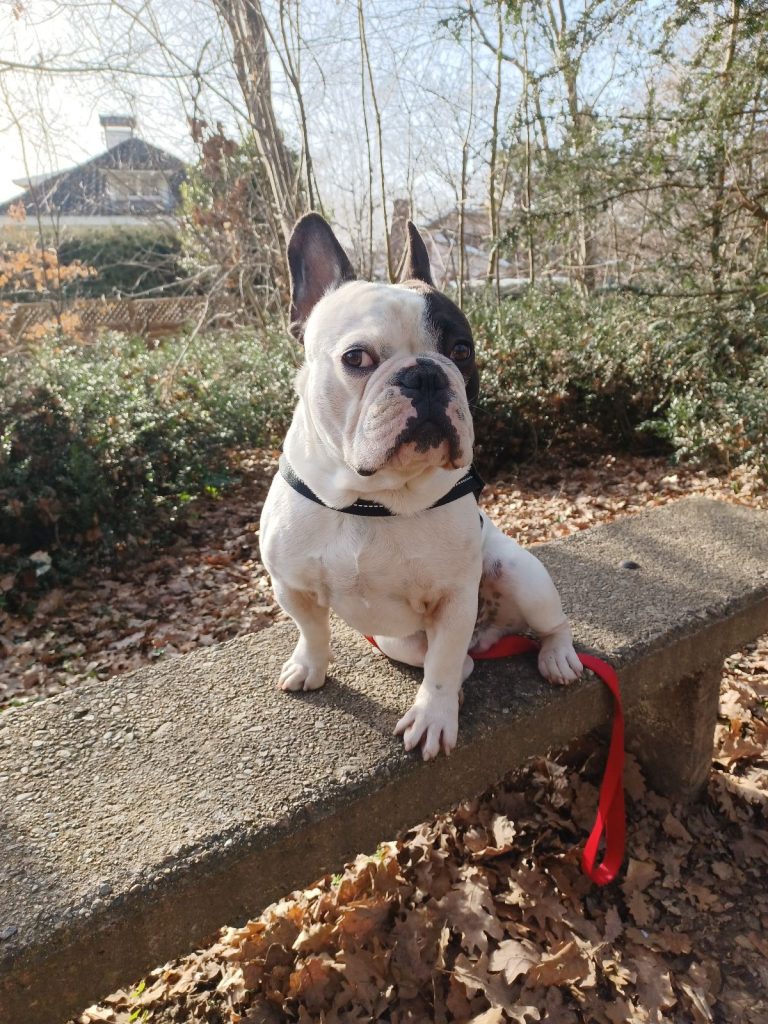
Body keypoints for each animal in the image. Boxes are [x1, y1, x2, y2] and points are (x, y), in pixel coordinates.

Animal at [260, 216, 581, 761]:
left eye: (462, 351)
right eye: (356, 357)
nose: (427, 374)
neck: (370, 500)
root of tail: (490, 634)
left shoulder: (454, 598)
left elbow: (442, 667)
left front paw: (433, 717)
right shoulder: (291, 585)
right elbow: (313, 630)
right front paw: (309, 666)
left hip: (521, 575)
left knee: (545, 627)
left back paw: (557, 657)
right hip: (399, 641)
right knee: (452, 658)